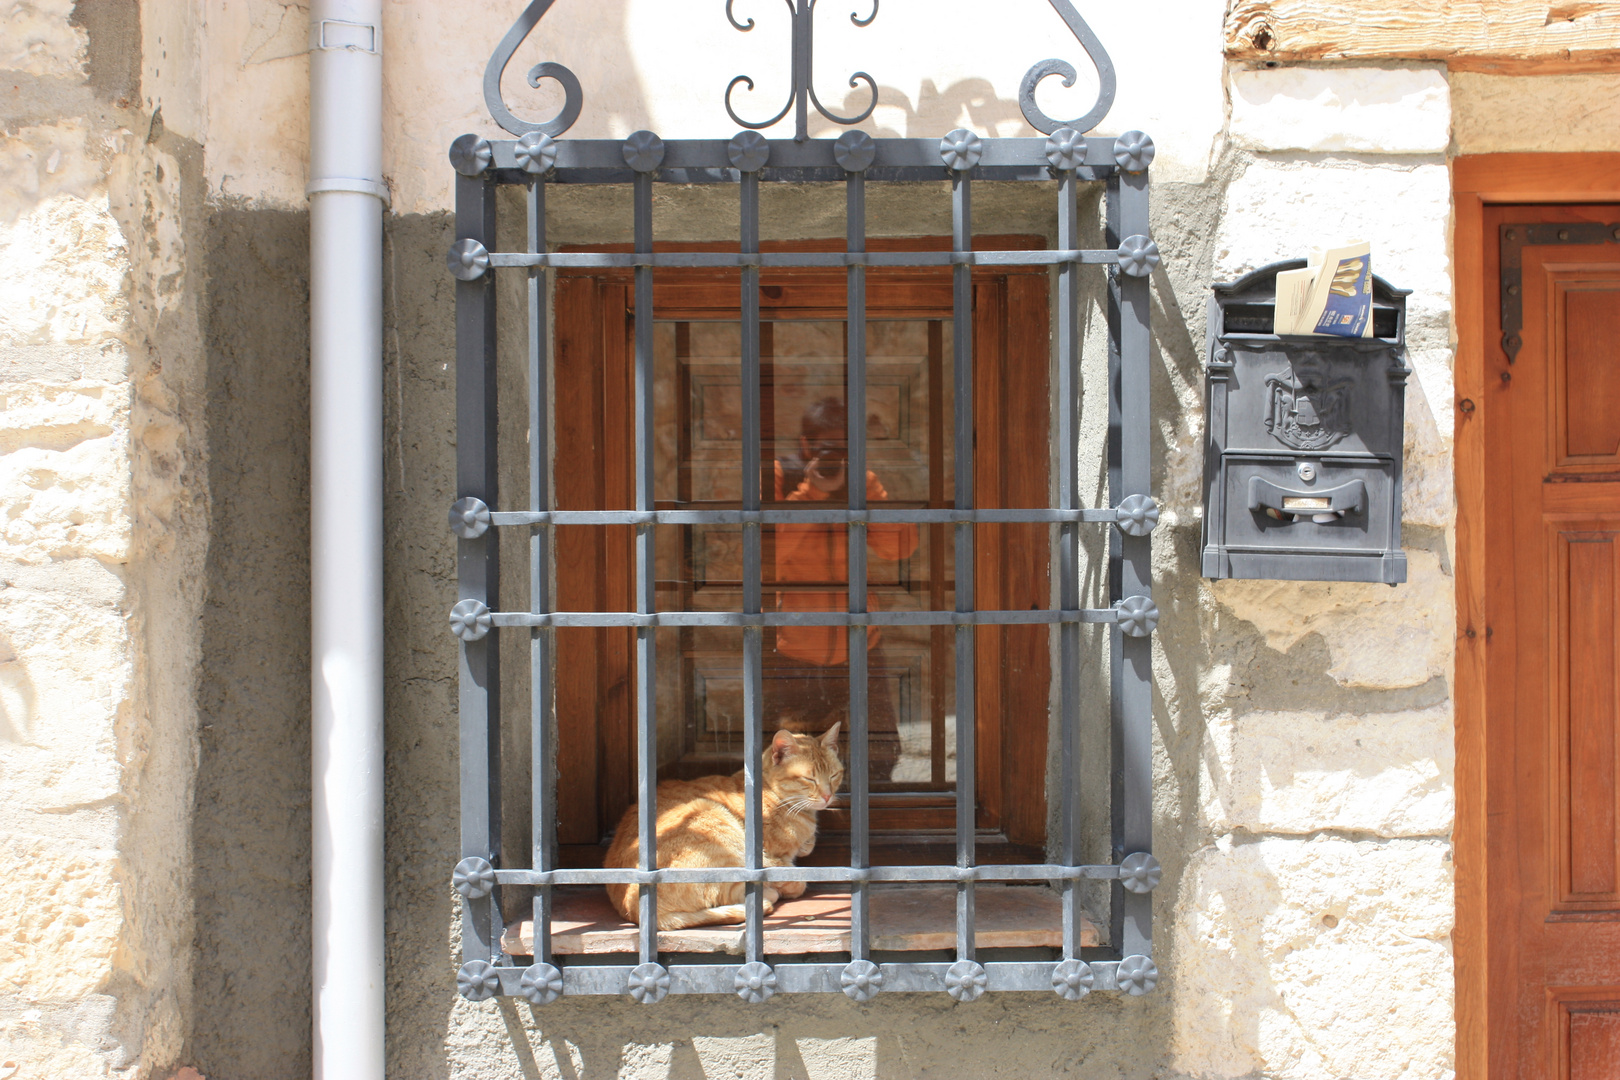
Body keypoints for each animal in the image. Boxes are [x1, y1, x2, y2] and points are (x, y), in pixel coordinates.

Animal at [602, 722, 842, 932]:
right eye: (809, 779)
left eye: (834, 775)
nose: (827, 796)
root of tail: (637, 909)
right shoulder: (766, 859)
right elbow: (794, 878)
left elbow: (806, 846)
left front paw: (807, 844)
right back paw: (769, 895)